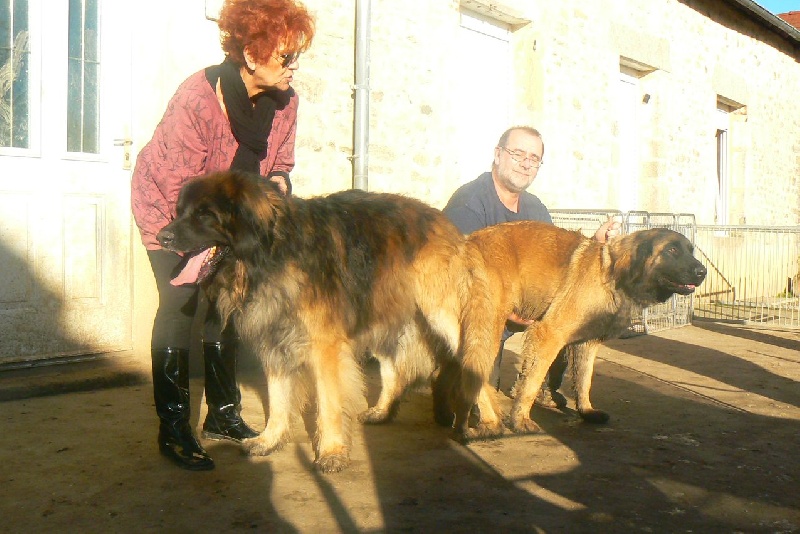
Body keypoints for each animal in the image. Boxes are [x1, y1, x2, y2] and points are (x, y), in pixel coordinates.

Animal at [438, 221, 708, 440]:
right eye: (672, 250)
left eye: (690, 251)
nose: (702, 272)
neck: (611, 274)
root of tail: (465, 244)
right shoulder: (549, 333)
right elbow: (532, 381)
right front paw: (521, 420)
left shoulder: (586, 343)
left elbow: (584, 379)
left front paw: (586, 410)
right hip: (488, 327)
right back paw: (489, 423)